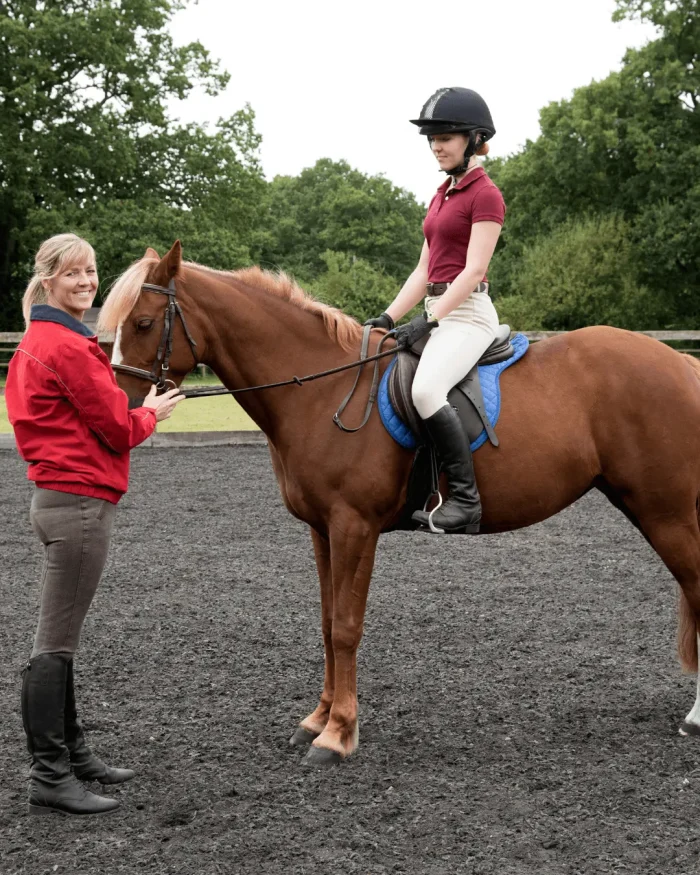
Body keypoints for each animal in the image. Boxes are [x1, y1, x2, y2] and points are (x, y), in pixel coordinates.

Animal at [101, 243, 700, 764]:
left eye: (144, 323)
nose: (122, 408)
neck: (320, 392)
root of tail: (680, 363)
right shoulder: (321, 530)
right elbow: (327, 623)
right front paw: (317, 720)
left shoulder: (354, 526)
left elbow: (347, 625)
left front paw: (338, 735)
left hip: (665, 512)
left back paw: (695, 717)